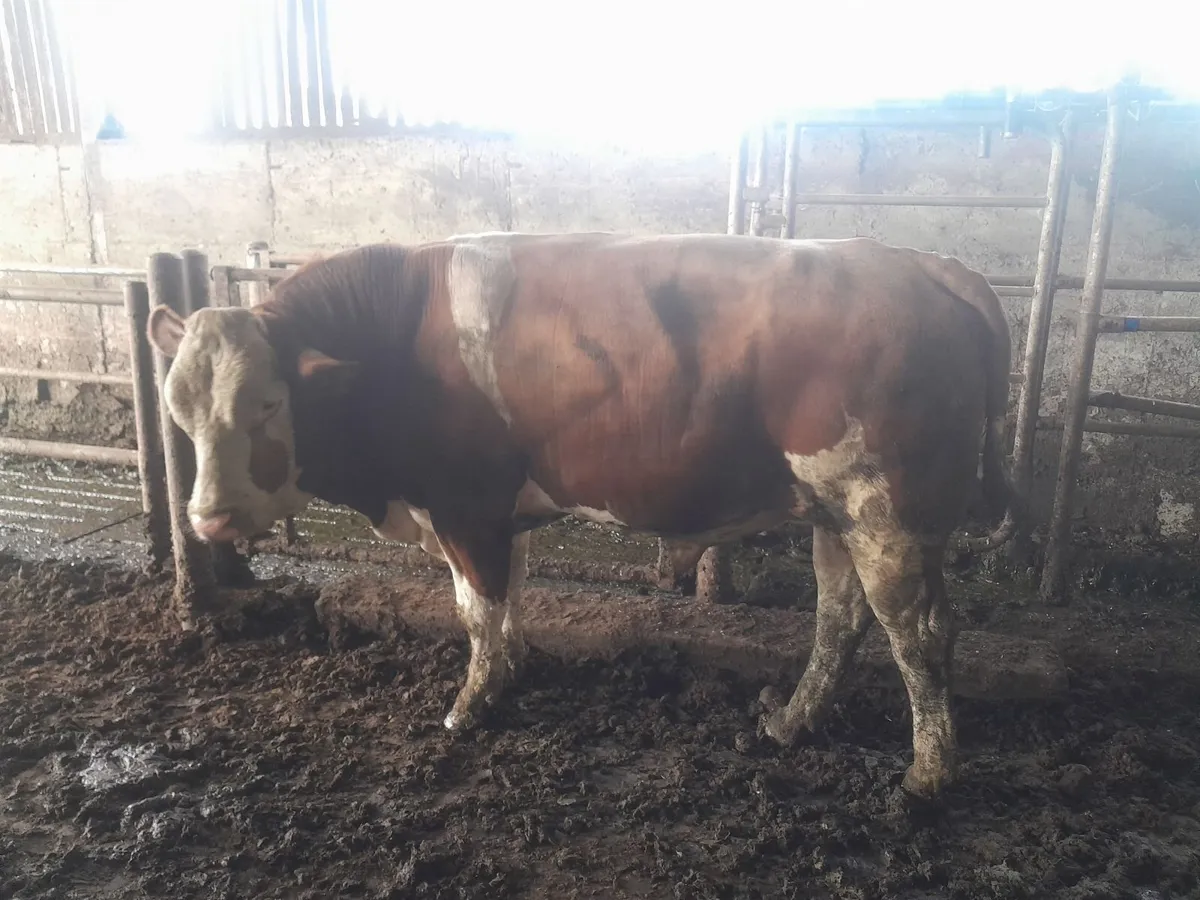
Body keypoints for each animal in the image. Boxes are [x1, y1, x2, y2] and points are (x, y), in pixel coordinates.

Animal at [147, 232, 1017, 799]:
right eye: (177, 407)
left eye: (266, 404)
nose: (209, 519)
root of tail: (927, 267)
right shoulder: (497, 515)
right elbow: (510, 599)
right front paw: (510, 673)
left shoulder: (463, 504)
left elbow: (475, 609)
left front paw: (469, 707)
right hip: (835, 512)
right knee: (841, 619)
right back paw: (791, 724)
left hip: (884, 511)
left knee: (918, 634)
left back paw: (928, 775)